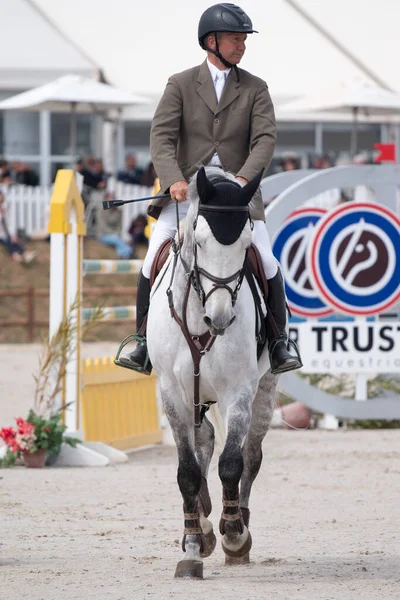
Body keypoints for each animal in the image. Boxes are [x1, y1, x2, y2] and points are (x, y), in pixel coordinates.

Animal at [146, 166, 278, 580]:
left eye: (247, 244)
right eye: (200, 242)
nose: (219, 319)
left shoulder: (240, 390)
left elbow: (232, 464)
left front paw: (234, 535)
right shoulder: (172, 393)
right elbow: (187, 470)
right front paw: (191, 546)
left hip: (264, 392)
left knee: (251, 454)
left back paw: (236, 528)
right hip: (195, 396)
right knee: (202, 441)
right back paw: (202, 525)